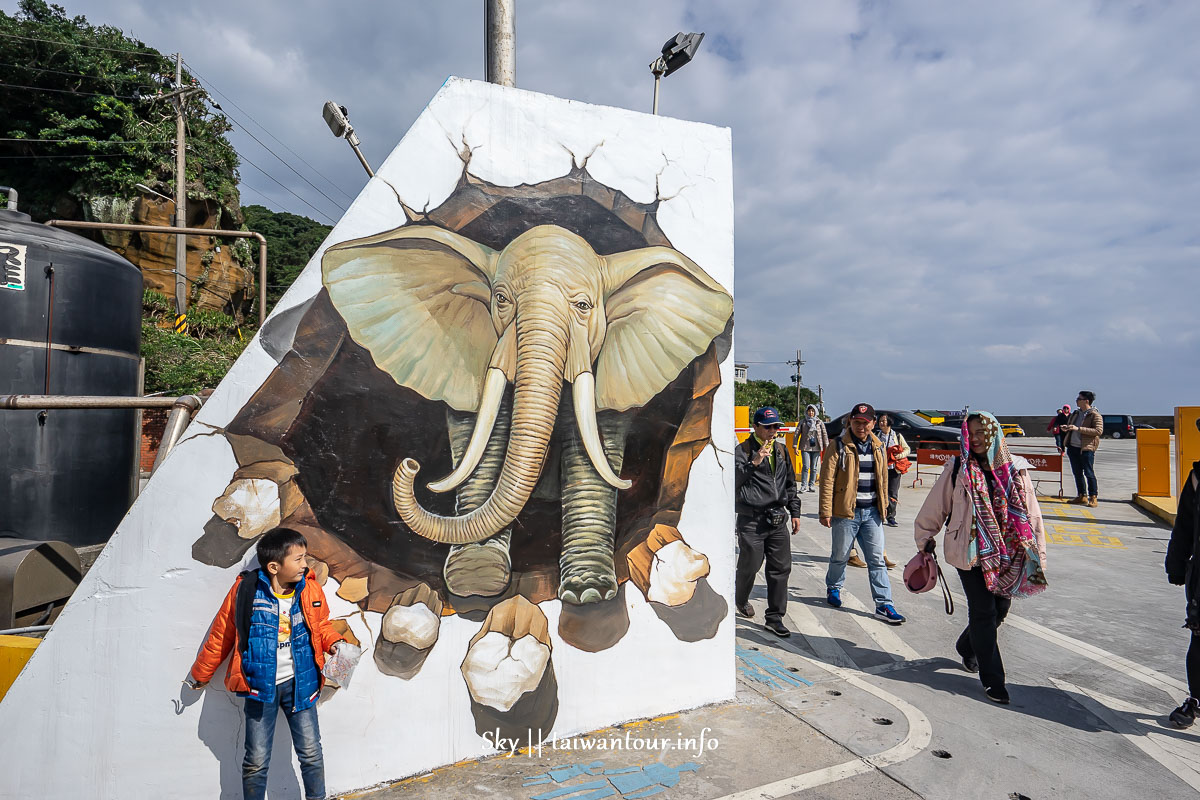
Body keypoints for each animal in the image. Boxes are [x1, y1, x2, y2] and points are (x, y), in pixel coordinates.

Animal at [319, 221, 729, 604]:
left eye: (584, 307)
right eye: (501, 299)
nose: (412, 466)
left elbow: (594, 448)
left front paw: (588, 594)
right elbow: (479, 435)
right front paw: (476, 582)